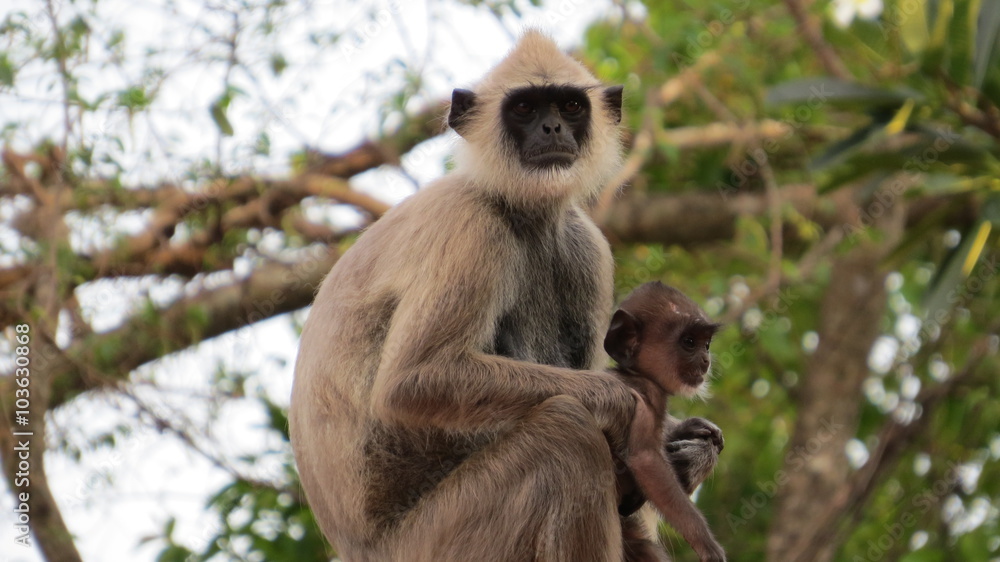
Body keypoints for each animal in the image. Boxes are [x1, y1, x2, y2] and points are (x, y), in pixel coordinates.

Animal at [605, 282, 726, 562]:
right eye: (689, 342)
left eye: (706, 344)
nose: (706, 361)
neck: (634, 373)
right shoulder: (649, 398)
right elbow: (646, 460)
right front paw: (707, 545)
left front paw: (691, 426)